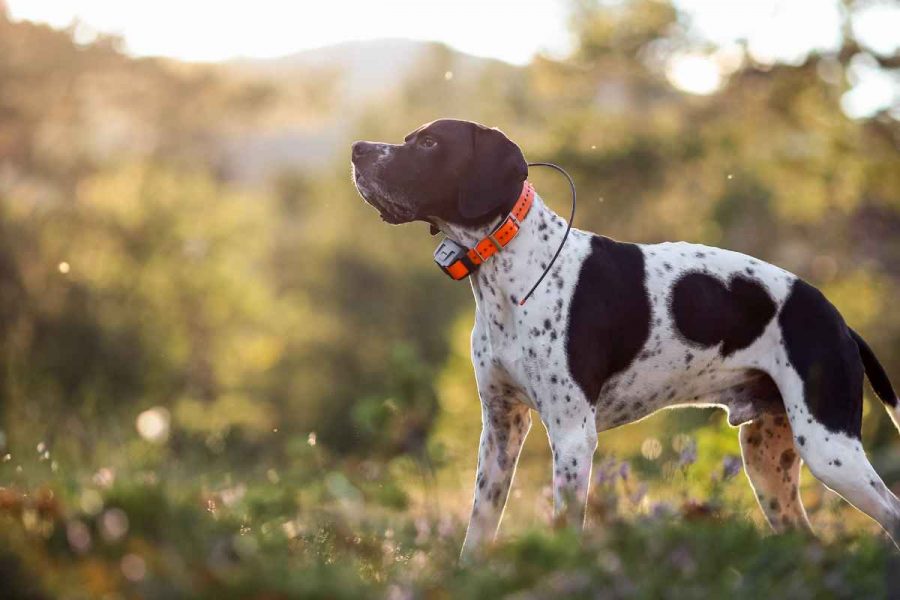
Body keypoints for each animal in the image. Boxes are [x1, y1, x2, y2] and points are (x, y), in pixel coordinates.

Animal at [350, 117, 900, 556]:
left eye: (428, 145)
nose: (357, 149)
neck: (509, 267)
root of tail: (840, 321)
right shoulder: (501, 429)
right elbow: (478, 529)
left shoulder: (572, 435)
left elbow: (565, 528)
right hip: (769, 462)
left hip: (829, 447)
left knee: (891, 514)